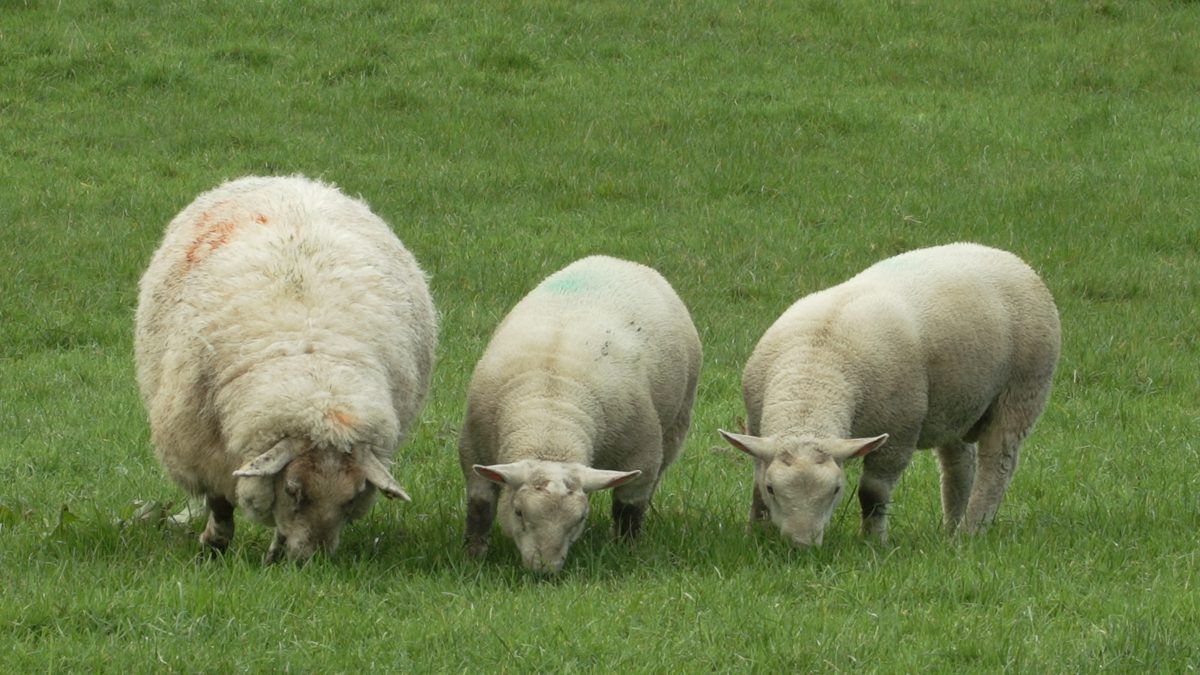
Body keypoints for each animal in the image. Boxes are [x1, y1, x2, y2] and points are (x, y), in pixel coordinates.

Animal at [135, 175, 437, 563]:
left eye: (352, 498)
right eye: (293, 490)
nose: (313, 561)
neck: (317, 377)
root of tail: (286, 179)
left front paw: (276, 553)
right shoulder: (200, 446)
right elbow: (219, 503)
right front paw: (214, 546)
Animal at [459, 255, 701, 574]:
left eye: (580, 519)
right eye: (519, 512)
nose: (544, 570)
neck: (550, 421)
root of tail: (618, 260)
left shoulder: (641, 454)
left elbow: (629, 510)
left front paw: (625, 550)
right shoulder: (474, 449)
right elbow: (480, 506)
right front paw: (473, 555)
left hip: (676, 425)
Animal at [720, 243, 1060, 546]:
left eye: (836, 489)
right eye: (772, 488)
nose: (801, 545)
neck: (815, 372)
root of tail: (1008, 257)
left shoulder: (898, 433)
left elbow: (873, 492)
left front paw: (873, 542)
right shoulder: (758, 431)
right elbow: (754, 486)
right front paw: (756, 535)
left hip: (1023, 389)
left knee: (997, 462)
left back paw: (971, 530)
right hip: (957, 401)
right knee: (959, 464)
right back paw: (951, 529)